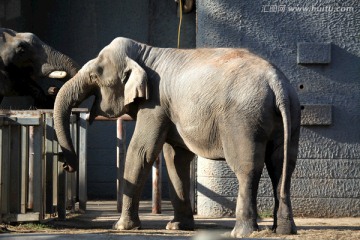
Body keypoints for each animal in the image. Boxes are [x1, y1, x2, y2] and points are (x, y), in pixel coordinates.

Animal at [52, 37, 300, 238]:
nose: (66, 164)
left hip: (243, 119)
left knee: (247, 167)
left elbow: (141, 151)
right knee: (283, 166)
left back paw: (241, 232)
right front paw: (177, 227)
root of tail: (276, 82)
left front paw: (121, 227)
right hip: (290, 113)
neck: (145, 52)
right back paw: (283, 230)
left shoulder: (155, 103)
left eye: (94, 76)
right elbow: (175, 158)